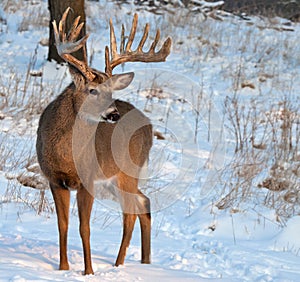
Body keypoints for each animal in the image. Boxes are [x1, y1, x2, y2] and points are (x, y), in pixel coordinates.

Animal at [35, 7, 171, 274]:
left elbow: (84, 228)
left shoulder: (86, 179)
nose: (114, 114)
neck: (64, 155)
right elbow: (62, 226)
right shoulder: (54, 179)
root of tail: (149, 125)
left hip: (127, 171)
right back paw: (144, 262)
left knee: (130, 213)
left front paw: (88, 271)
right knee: (144, 202)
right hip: (113, 181)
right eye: (92, 90)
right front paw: (63, 268)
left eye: (111, 92)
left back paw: (119, 264)